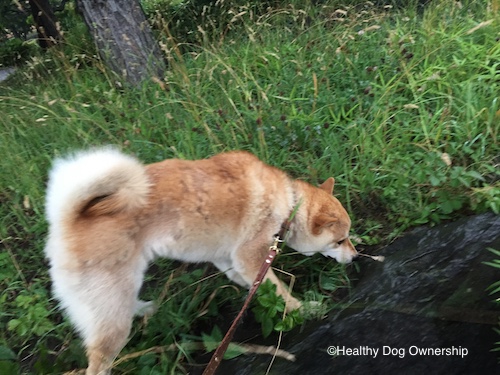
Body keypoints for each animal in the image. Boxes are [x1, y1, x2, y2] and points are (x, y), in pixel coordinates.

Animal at [43, 148, 356, 374]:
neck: (289, 202)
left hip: (114, 297)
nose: (354, 256)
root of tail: (69, 220)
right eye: (340, 241)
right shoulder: (252, 255)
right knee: (98, 363)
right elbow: (280, 291)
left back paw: (146, 309)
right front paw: (305, 309)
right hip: (111, 313)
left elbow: (255, 284)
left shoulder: (229, 259)